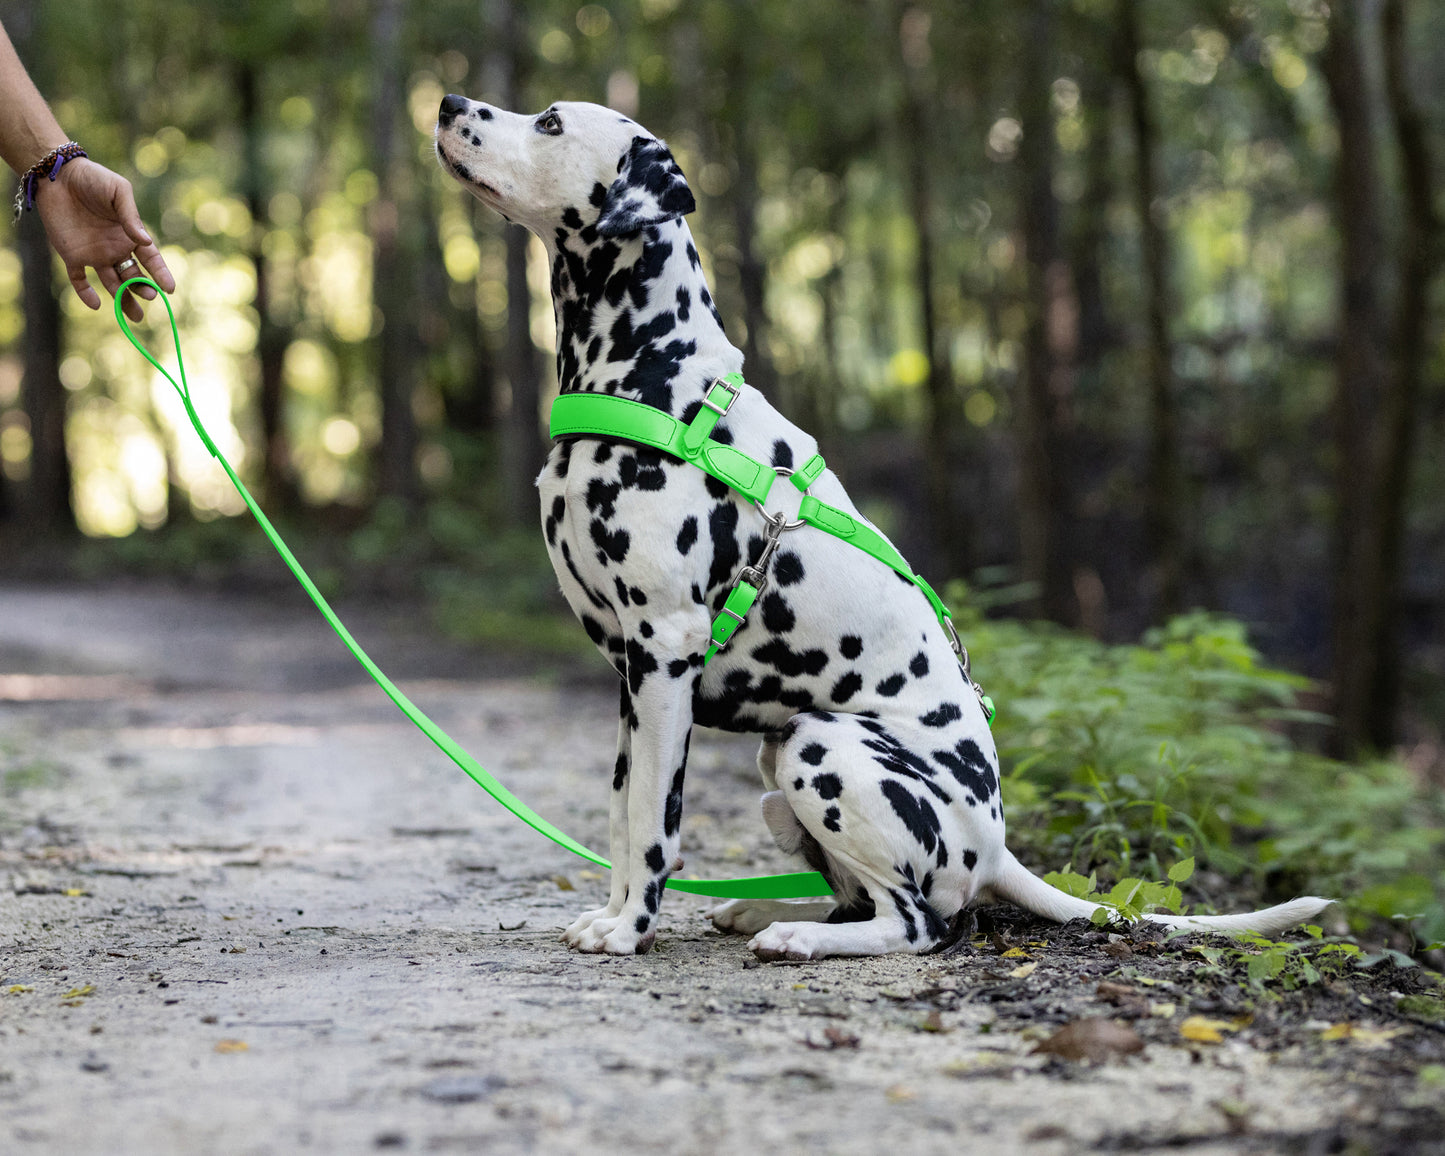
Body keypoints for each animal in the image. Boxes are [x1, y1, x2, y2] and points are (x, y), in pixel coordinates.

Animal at [430, 96, 1329, 959]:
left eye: (550, 123)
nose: (445, 103)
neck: (656, 376)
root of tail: (995, 847)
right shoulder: (631, 675)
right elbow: (622, 814)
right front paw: (614, 915)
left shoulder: (664, 652)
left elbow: (655, 821)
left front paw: (630, 932)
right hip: (779, 758)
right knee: (862, 898)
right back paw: (763, 914)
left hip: (821, 747)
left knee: (916, 924)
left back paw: (794, 936)